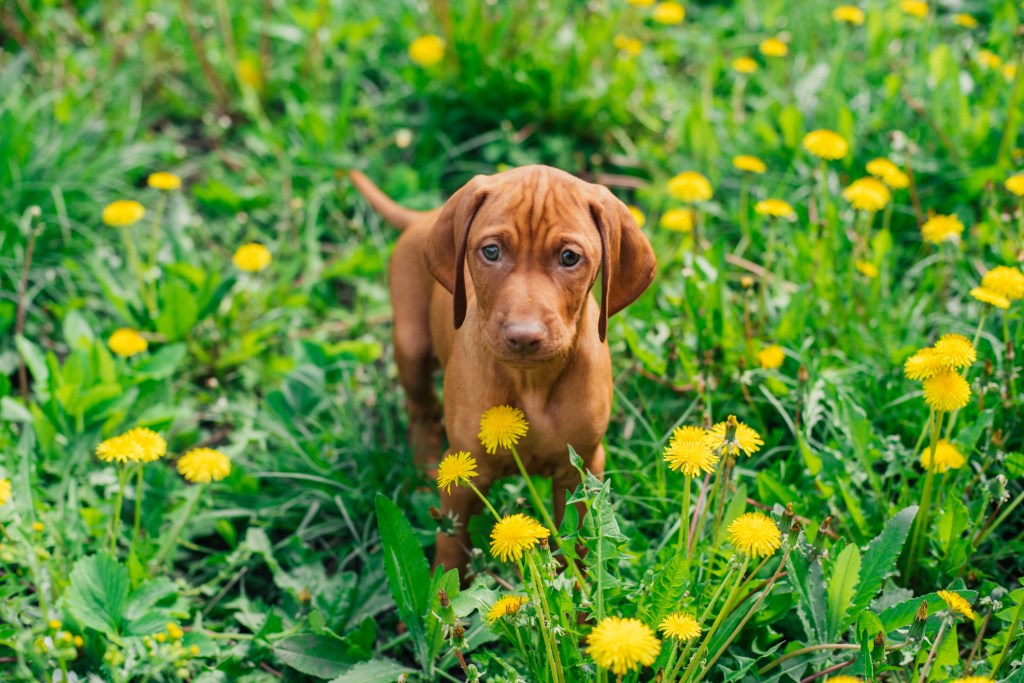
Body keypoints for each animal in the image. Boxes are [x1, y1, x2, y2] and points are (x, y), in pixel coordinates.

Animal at [352, 163, 655, 573]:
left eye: (569, 257)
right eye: (491, 251)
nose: (524, 337)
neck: (531, 383)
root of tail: (424, 218)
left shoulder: (583, 469)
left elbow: (580, 547)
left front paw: (584, 592)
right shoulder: (465, 471)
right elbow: (451, 547)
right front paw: (443, 590)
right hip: (410, 346)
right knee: (421, 408)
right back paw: (423, 470)